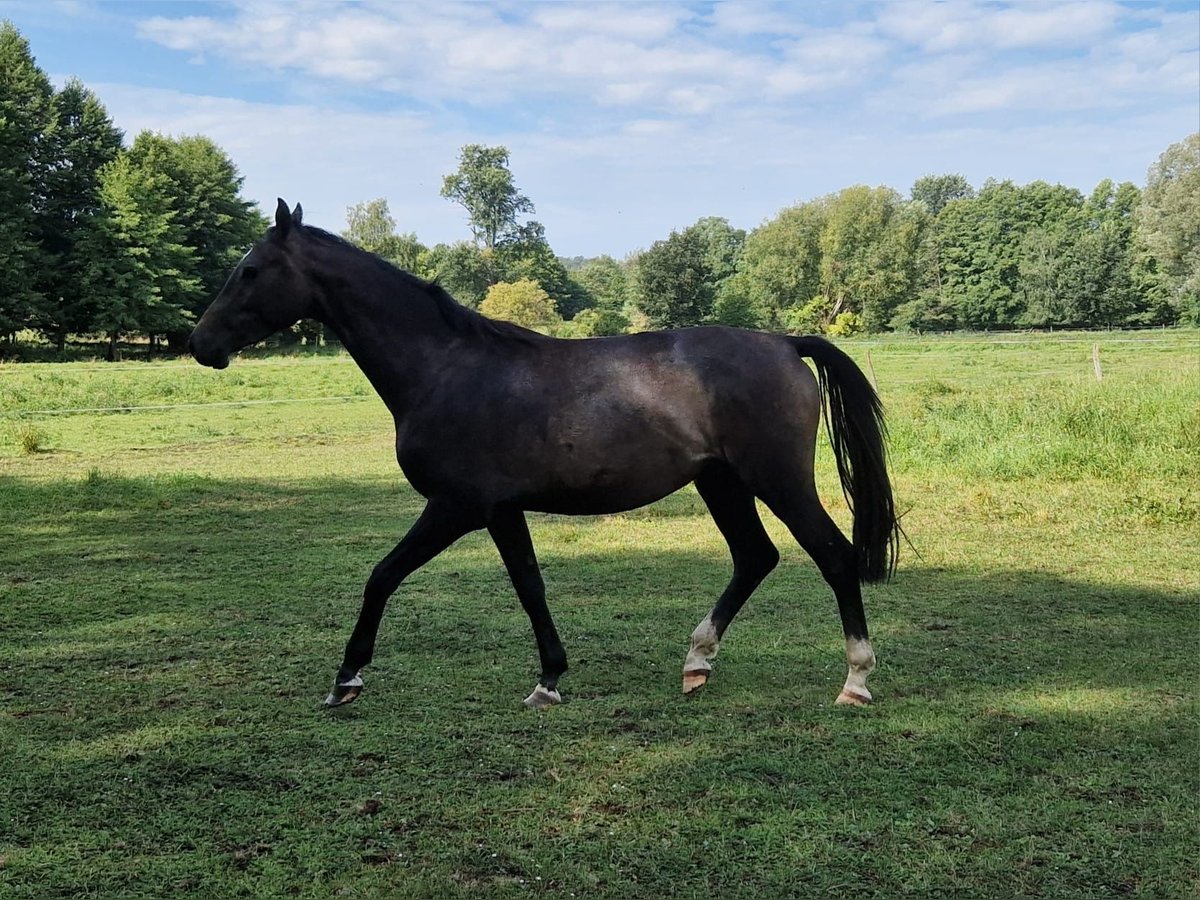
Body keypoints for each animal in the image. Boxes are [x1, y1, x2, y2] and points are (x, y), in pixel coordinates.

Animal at [189, 199, 899, 710]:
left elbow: (383, 576)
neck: (445, 368)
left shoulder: (456, 507)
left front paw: (347, 679)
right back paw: (697, 663)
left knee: (833, 556)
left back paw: (855, 680)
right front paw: (550, 678)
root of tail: (785, 342)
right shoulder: (501, 512)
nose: (200, 344)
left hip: (776, 480)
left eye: (249, 271)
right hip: (721, 483)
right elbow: (529, 585)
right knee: (755, 557)